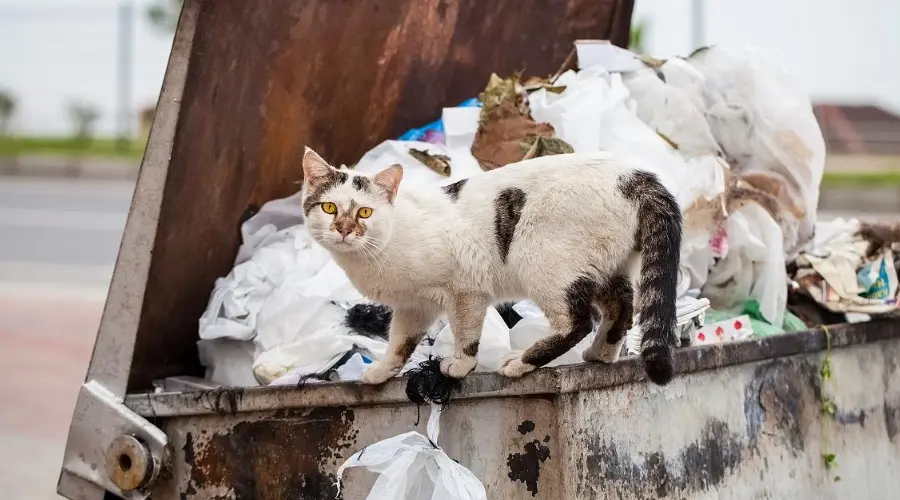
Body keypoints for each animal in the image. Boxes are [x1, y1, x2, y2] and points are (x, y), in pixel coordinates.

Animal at [300, 146, 684, 384]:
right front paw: (382, 372)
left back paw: (521, 362)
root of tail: (634, 175)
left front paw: (459, 365)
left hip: (541, 259)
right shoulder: (414, 306)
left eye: (365, 212)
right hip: (604, 265)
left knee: (578, 322)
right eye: (329, 208)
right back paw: (602, 354)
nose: (344, 229)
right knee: (622, 306)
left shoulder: (465, 289)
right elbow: (400, 342)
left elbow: (465, 334)